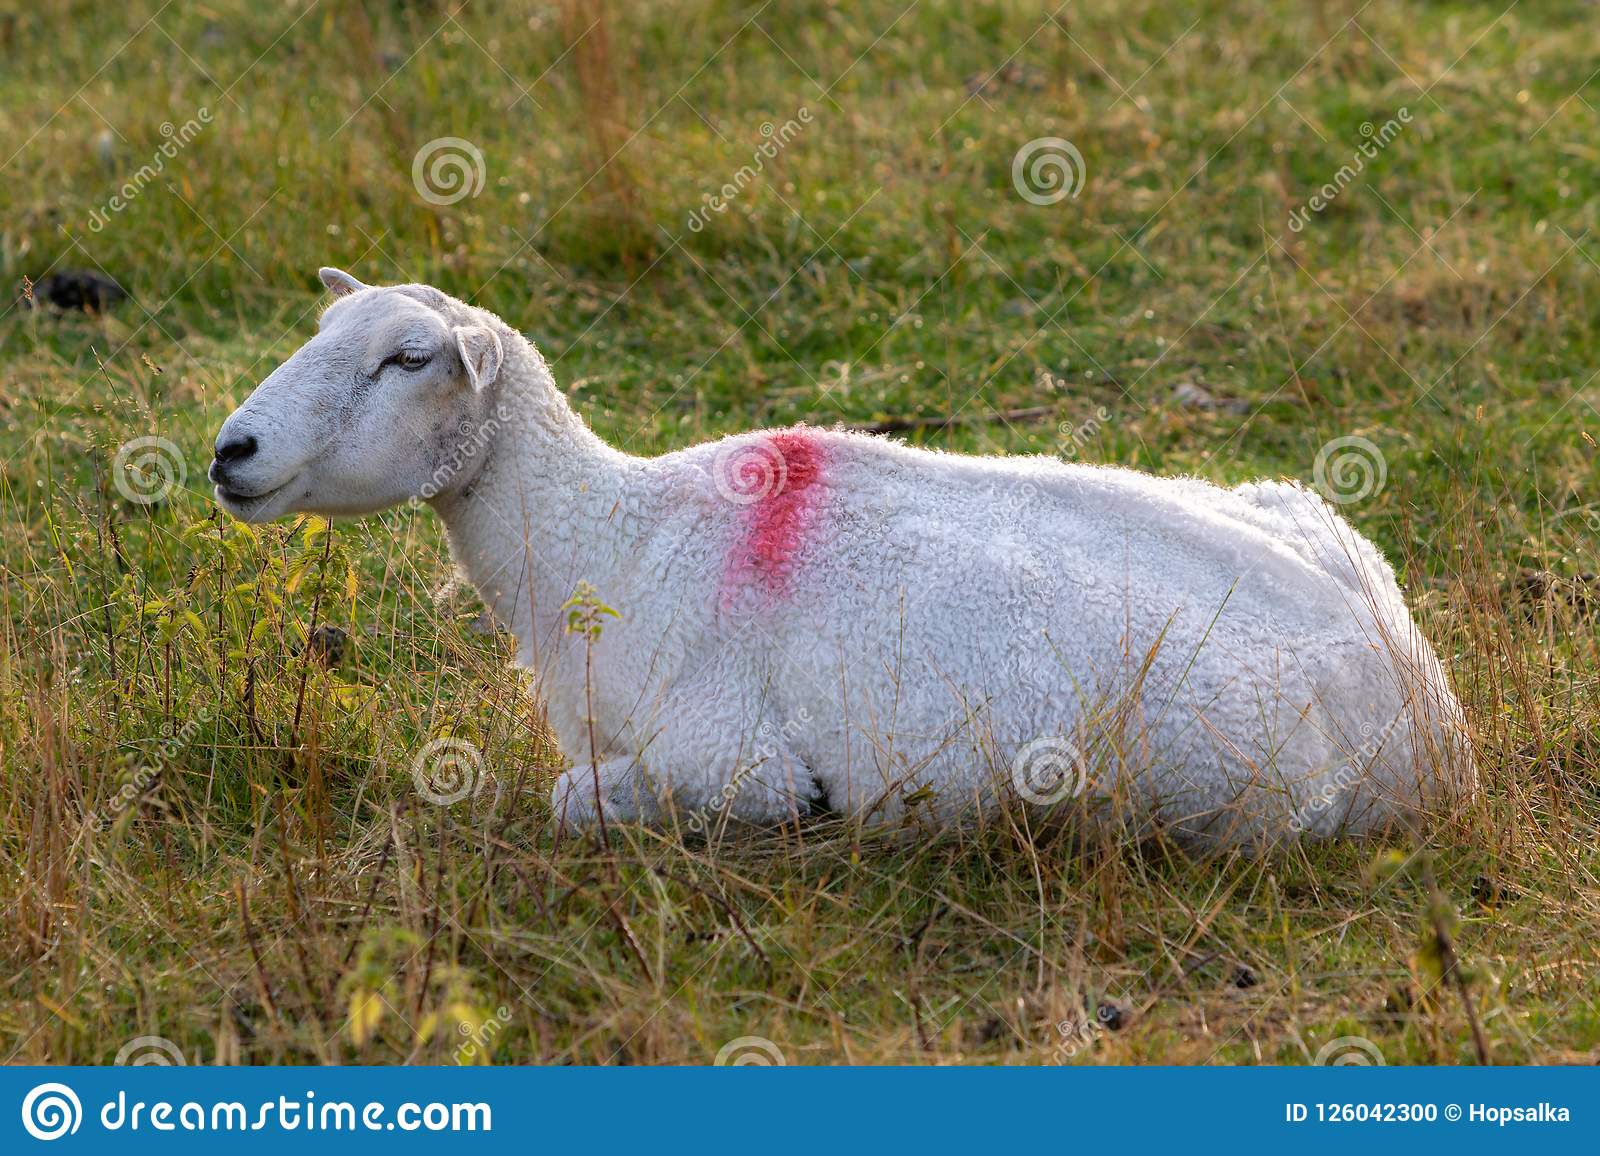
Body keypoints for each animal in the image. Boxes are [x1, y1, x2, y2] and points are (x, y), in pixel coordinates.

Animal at [208, 267, 1475, 848]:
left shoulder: (735, 759)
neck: (603, 533)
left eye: (407, 358)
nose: (231, 451)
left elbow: (582, 799)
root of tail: (1426, 712)